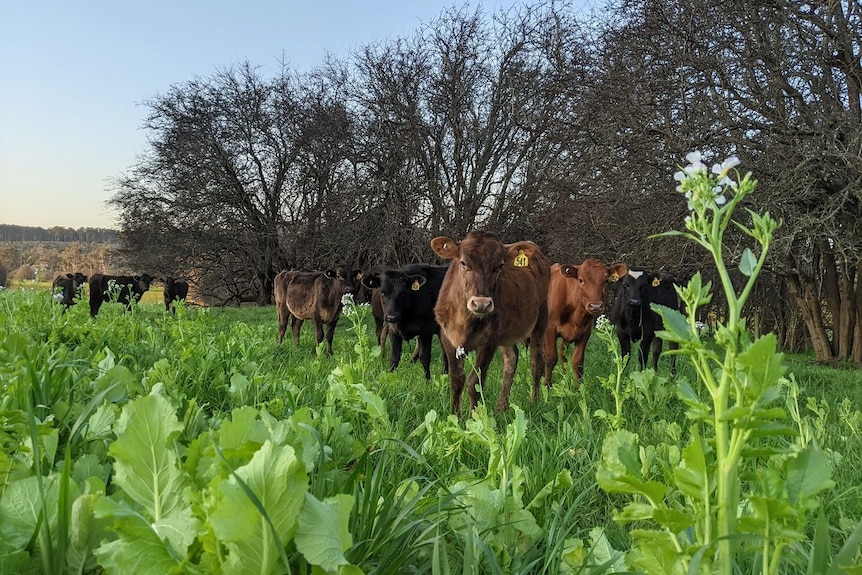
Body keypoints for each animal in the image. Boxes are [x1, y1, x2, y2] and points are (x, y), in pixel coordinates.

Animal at [432, 232, 552, 416]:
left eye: (499, 266)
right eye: (463, 263)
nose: (481, 304)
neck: (465, 321)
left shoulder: (489, 340)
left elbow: (474, 382)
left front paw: (472, 418)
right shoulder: (448, 338)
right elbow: (456, 380)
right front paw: (455, 416)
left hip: (541, 317)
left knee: (536, 362)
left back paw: (534, 402)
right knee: (511, 359)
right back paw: (501, 408)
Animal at [544, 260, 632, 388]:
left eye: (606, 281)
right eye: (580, 280)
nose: (595, 306)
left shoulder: (585, 332)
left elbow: (577, 361)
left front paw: (578, 388)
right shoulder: (550, 330)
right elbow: (550, 358)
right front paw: (547, 386)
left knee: (563, 354)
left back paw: (564, 377)